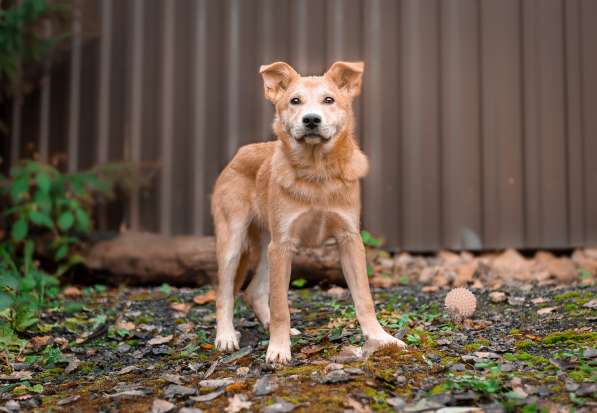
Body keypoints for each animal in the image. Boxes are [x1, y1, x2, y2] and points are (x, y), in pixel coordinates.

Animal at [211, 61, 406, 364]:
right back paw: (226, 336)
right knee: (225, 293)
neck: (318, 174)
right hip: (234, 242)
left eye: (329, 100)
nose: (311, 120)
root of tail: (239, 154)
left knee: (254, 291)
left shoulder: (349, 240)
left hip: (267, 246)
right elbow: (281, 305)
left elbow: (364, 298)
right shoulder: (283, 245)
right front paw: (278, 349)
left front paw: (381, 338)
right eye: (295, 101)